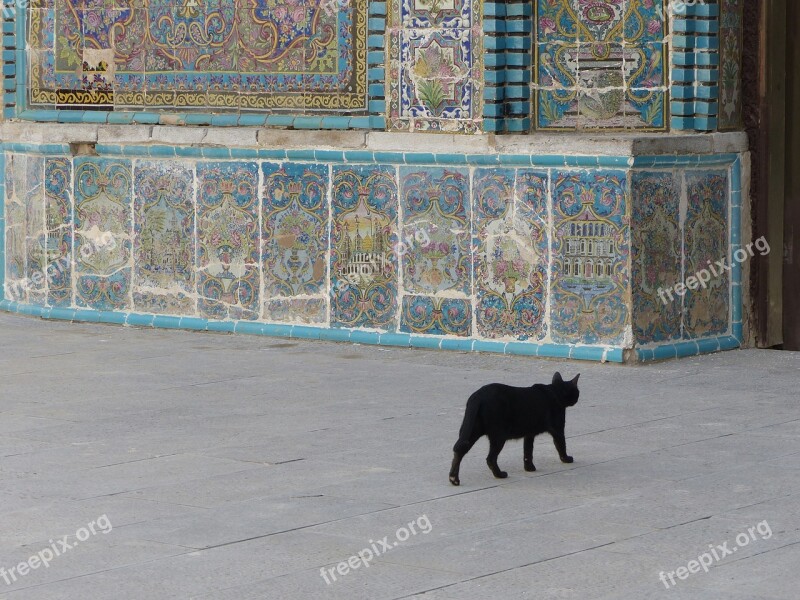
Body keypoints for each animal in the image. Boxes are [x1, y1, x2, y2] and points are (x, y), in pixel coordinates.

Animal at [446, 372, 580, 486]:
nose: (577, 398)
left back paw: (454, 479)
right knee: (490, 458)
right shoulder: (558, 429)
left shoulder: (529, 434)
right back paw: (500, 475)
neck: (555, 391)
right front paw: (567, 459)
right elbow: (561, 445)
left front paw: (529, 468)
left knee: (459, 450)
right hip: (498, 436)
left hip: (471, 430)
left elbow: (527, 452)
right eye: (577, 392)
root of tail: (477, 397)